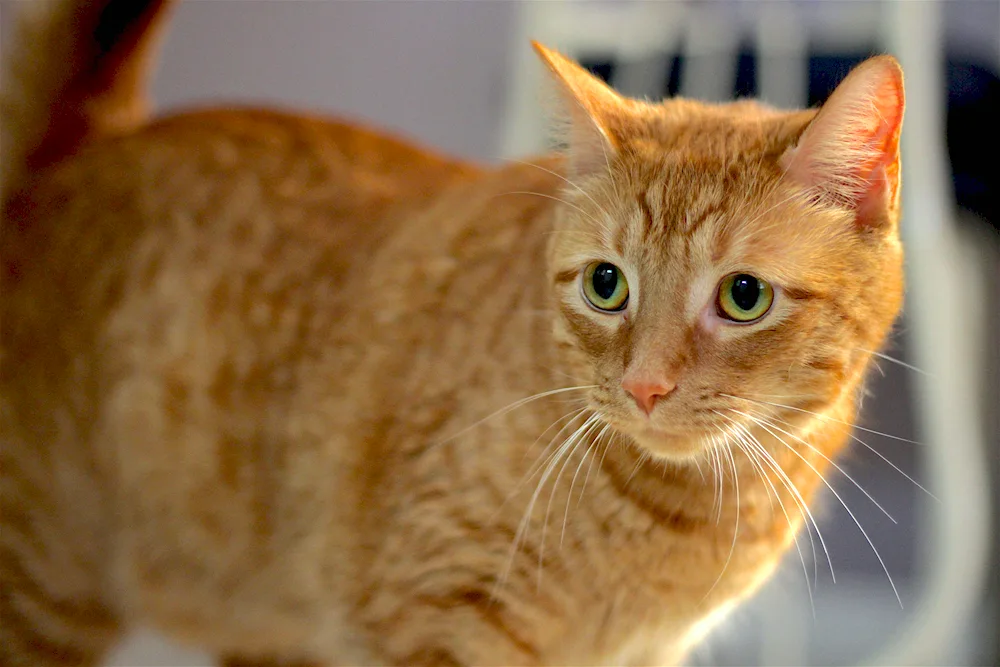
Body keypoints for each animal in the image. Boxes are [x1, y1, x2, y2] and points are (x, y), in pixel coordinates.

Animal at [0, 1, 908, 667]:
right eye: (606, 285)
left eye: (743, 297)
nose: (645, 386)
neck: (685, 514)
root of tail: (94, 141)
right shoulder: (431, 616)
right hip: (45, 587)